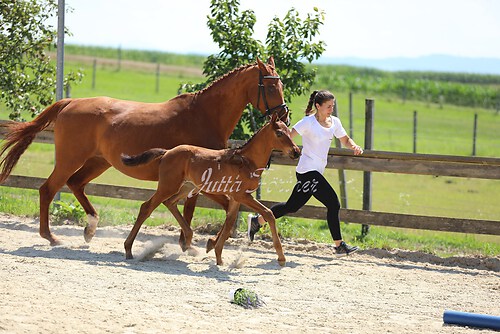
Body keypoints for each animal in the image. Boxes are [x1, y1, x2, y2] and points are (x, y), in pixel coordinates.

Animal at [121, 113, 300, 264]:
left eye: (289, 132)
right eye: (279, 133)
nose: (296, 152)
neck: (247, 161)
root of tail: (167, 152)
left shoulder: (235, 199)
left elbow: (229, 222)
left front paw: (218, 256)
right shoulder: (243, 196)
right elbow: (268, 214)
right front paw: (281, 258)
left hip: (187, 187)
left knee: (170, 203)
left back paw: (188, 238)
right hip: (168, 186)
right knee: (147, 207)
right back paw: (129, 249)